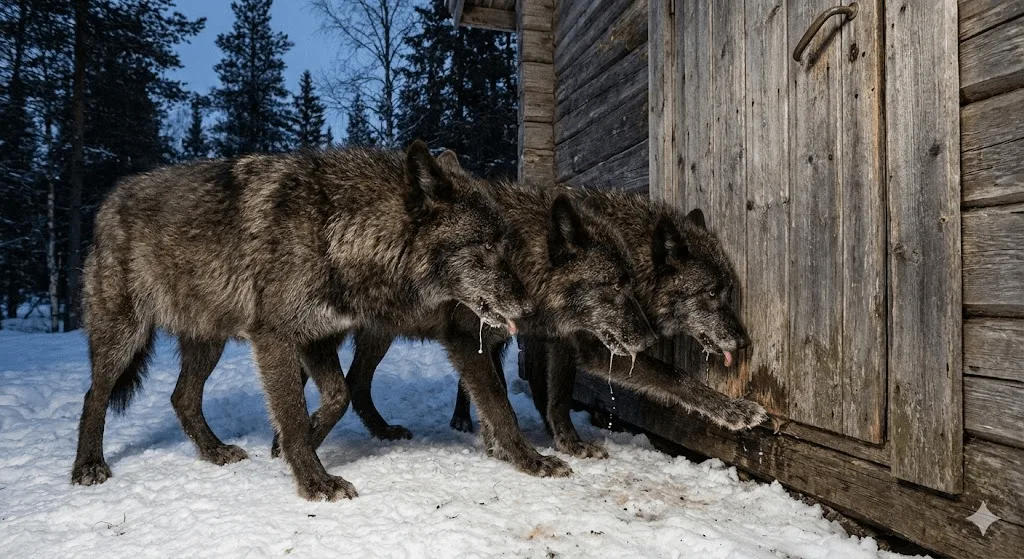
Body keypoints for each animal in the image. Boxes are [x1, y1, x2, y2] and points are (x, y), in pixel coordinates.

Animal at [72, 141, 531, 501]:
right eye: (487, 246)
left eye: (507, 244)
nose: (528, 307)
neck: (336, 229)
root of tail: (109, 199)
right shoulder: (275, 338)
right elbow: (293, 414)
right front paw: (314, 481)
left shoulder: (317, 336)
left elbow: (338, 396)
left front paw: (300, 445)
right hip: (124, 336)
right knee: (95, 395)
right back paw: (88, 465)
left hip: (209, 342)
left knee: (181, 397)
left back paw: (214, 451)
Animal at [271, 150, 658, 476]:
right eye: (616, 285)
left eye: (631, 284)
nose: (650, 339)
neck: (521, 261)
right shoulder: (468, 340)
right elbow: (501, 405)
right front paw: (528, 459)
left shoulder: (524, 342)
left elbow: (553, 401)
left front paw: (562, 446)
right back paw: (287, 443)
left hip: (379, 334)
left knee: (356, 382)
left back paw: (380, 430)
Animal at [343, 157, 767, 458]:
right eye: (711, 294)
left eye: (729, 291)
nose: (745, 342)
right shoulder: (585, 345)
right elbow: (675, 377)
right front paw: (735, 412)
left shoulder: (558, 341)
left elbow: (551, 396)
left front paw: (556, 441)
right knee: (357, 382)